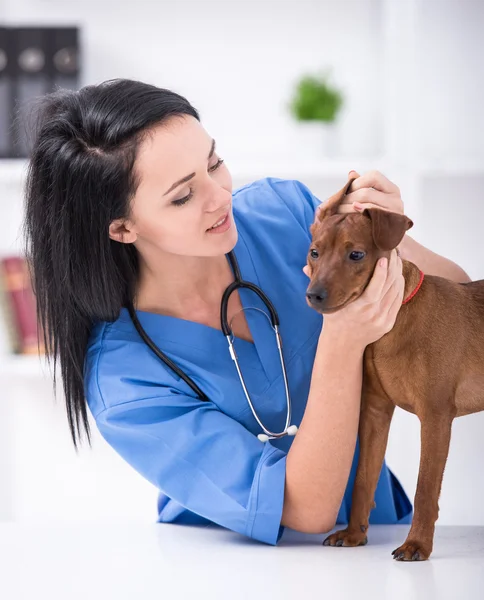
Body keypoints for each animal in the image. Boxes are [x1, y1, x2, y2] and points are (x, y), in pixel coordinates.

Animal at [306, 176, 484, 560]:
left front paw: (417, 544)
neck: (398, 317)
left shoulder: (436, 417)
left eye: (356, 254)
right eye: (314, 252)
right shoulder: (374, 411)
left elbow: (425, 487)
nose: (314, 295)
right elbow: (363, 478)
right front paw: (353, 534)